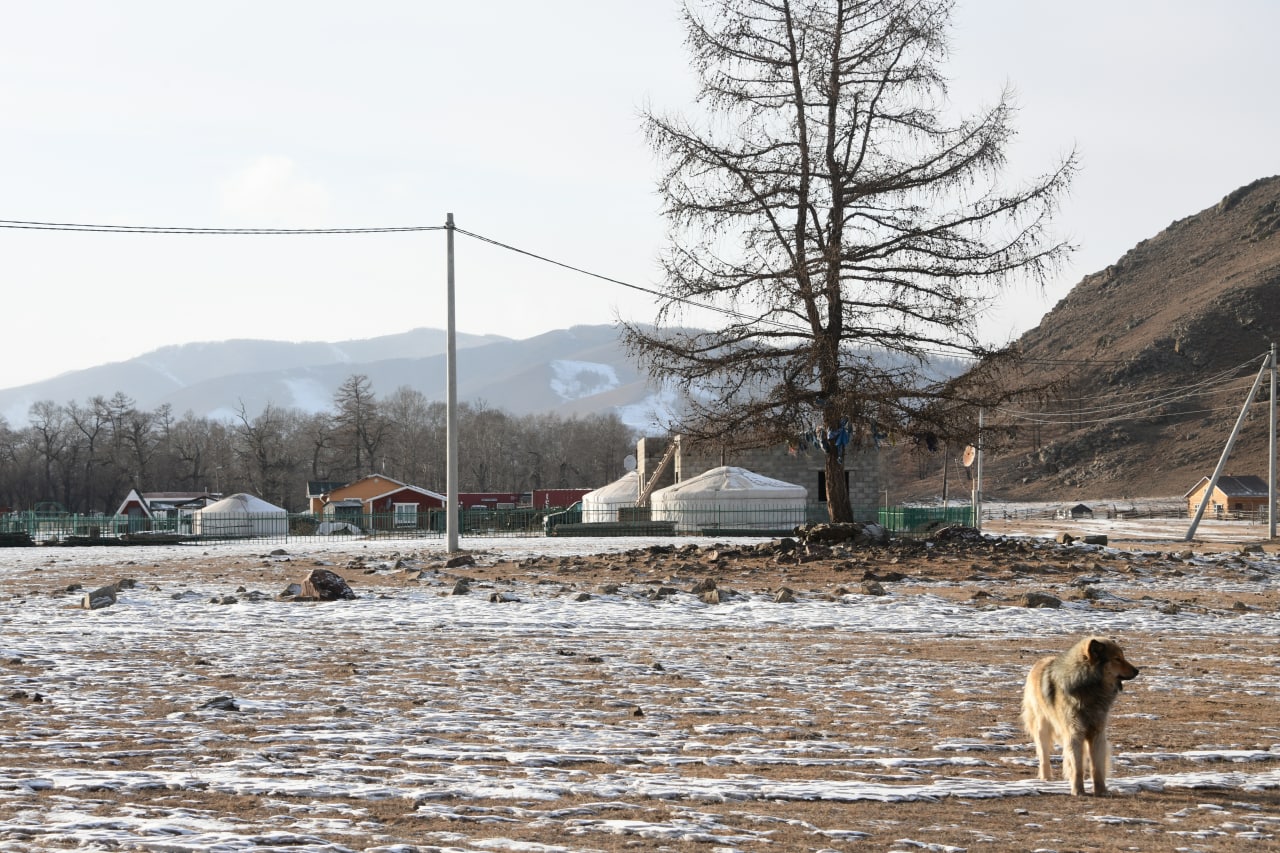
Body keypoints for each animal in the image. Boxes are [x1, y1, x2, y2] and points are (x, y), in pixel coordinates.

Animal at [1018, 635, 1141, 794]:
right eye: (1117, 659)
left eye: (1122, 657)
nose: (1137, 670)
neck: (1089, 689)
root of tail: (1039, 662)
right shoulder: (1074, 733)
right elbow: (1077, 767)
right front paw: (1078, 791)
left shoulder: (1097, 733)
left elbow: (1096, 767)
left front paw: (1101, 791)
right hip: (1042, 728)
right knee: (1044, 756)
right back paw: (1046, 780)